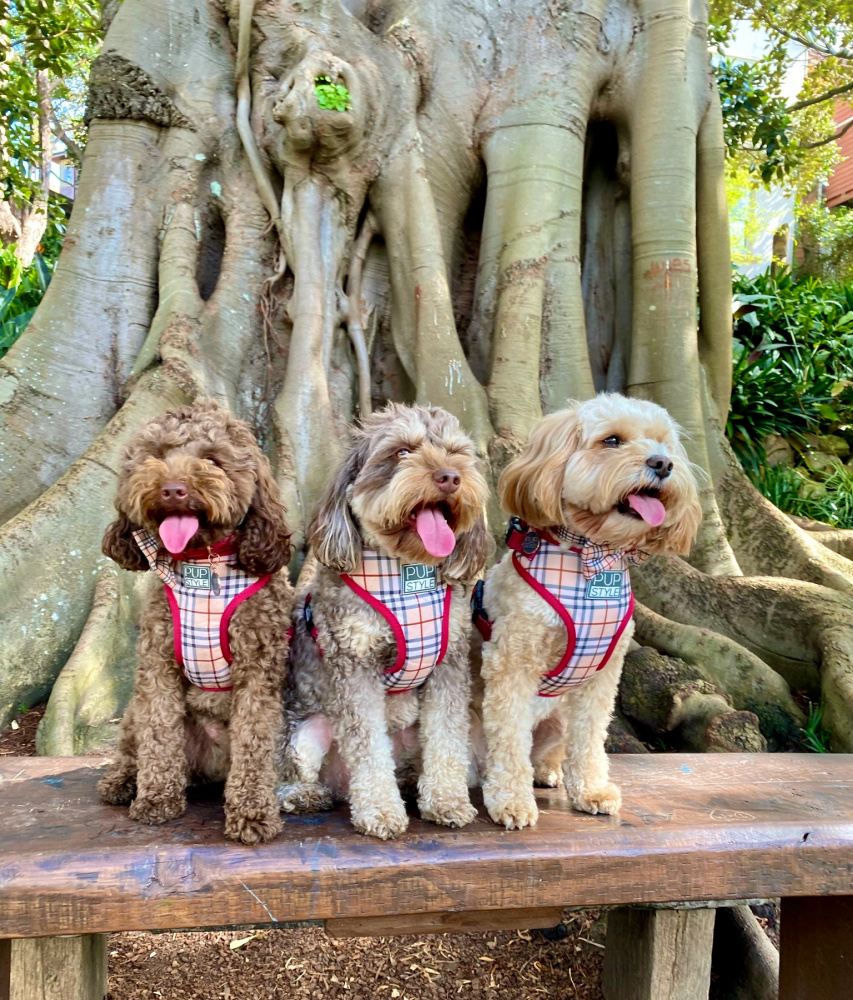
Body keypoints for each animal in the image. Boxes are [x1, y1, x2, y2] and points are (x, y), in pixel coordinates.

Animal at [98, 398, 292, 844]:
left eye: (213, 459)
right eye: (154, 455)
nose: (173, 489)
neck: (204, 563)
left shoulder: (258, 670)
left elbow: (255, 744)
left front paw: (253, 813)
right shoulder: (158, 666)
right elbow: (158, 737)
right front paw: (156, 799)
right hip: (133, 710)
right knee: (134, 746)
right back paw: (123, 780)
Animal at [278, 402, 492, 840]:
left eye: (456, 453)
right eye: (402, 452)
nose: (450, 477)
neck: (406, 572)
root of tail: (339, 787)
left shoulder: (449, 662)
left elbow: (446, 738)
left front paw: (447, 801)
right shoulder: (354, 662)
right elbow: (368, 749)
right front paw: (379, 811)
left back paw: (410, 782)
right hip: (307, 729)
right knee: (294, 773)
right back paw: (305, 795)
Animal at [476, 394, 704, 832]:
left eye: (663, 443)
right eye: (611, 440)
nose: (663, 463)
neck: (593, 557)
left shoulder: (602, 673)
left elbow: (590, 736)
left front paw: (592, 790)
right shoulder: (512, 662)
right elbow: (508, 739)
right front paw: (511, 801)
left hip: (559, 716)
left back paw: (547, 770)